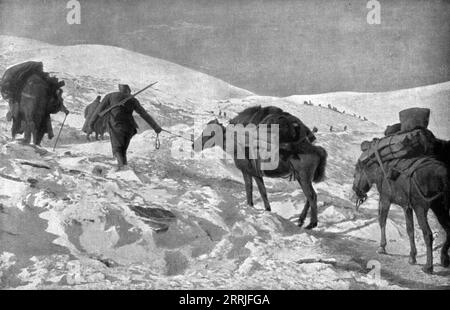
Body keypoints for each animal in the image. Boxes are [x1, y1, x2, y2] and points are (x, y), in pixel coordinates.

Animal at [193, 106, 326, 230]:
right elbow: (263, 192)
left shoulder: (247, 172)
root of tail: (318, 151)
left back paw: (312, 223)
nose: (194, 145)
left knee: (312, 196)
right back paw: (301, 220)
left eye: (211, 133)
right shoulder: (256, 174)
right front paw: (267, 209)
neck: (236, 145)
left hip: (303, 177)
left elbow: (250, 189)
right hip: (302, 178)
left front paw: (250, 205)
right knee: (310, 196)